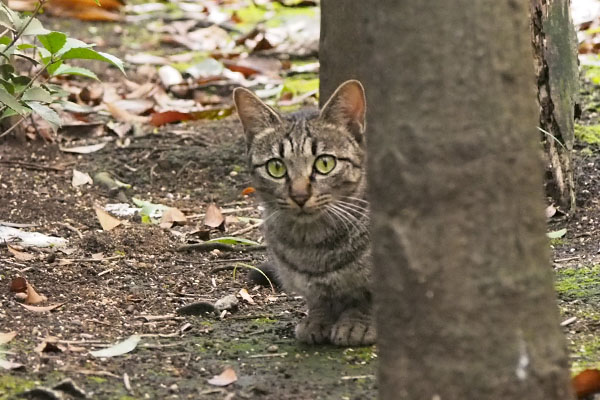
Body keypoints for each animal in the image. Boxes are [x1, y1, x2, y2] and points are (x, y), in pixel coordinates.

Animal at [232, 79, 372, 346]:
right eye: (276, 167)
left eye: (325, 163)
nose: (299, 195)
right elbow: (319, 299)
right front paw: (318, 320)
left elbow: (367, 297)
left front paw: (357, 323)